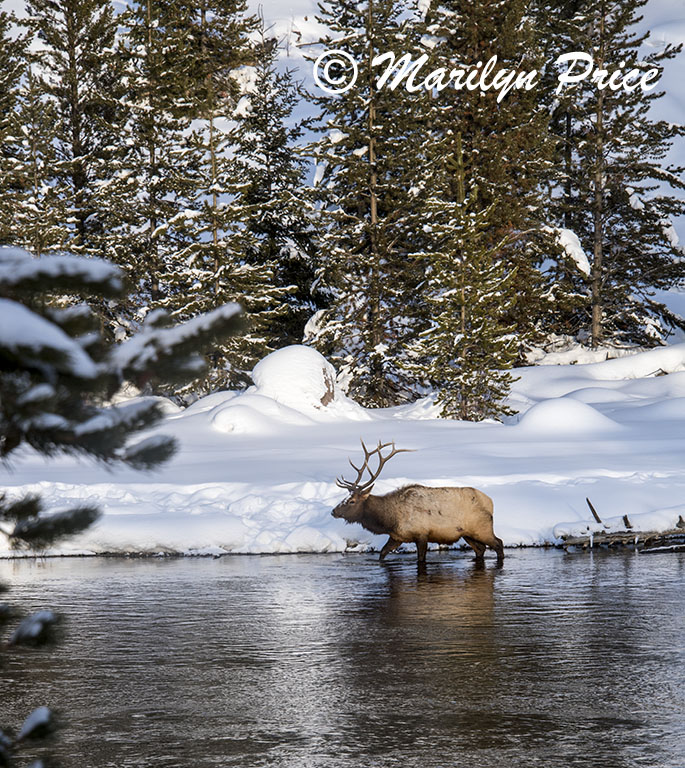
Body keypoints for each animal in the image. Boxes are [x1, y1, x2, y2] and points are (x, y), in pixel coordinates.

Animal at [332, 440, 504, 565]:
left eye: (352, 501)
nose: (333, 511)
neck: (390, 520)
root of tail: (491, 502)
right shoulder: (398, 537)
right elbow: (382, 553)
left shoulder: (421, 534)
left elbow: (421, 559)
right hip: (468, 533)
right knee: (480, 549)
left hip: (482, 528)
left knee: (498, 543)